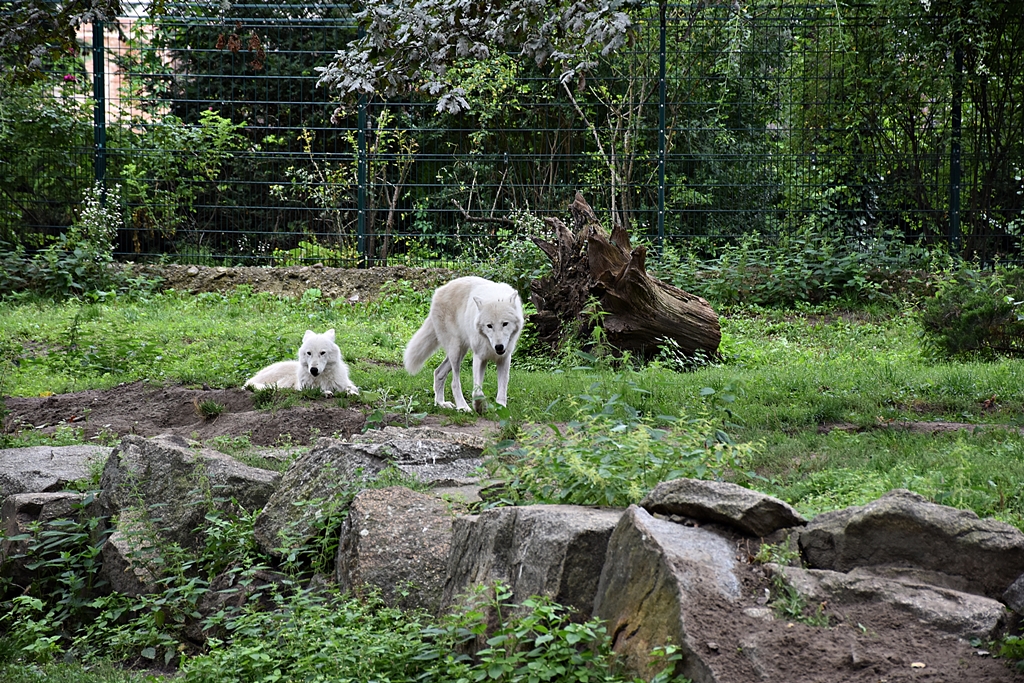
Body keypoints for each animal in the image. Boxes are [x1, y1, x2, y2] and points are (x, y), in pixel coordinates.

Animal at [404, 276, 524, 413]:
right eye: (489, 325)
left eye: (505, 323)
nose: (499, 347)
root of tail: (438, 291)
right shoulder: (479, 357)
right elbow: (477, 391)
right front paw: (479, 406)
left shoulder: (504, 358)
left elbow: (502, 390)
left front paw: (501, 409)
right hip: (456, 351)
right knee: (454, 382)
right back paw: (463, 407)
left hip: (461, 352)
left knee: (438, 372)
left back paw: (441, 403)